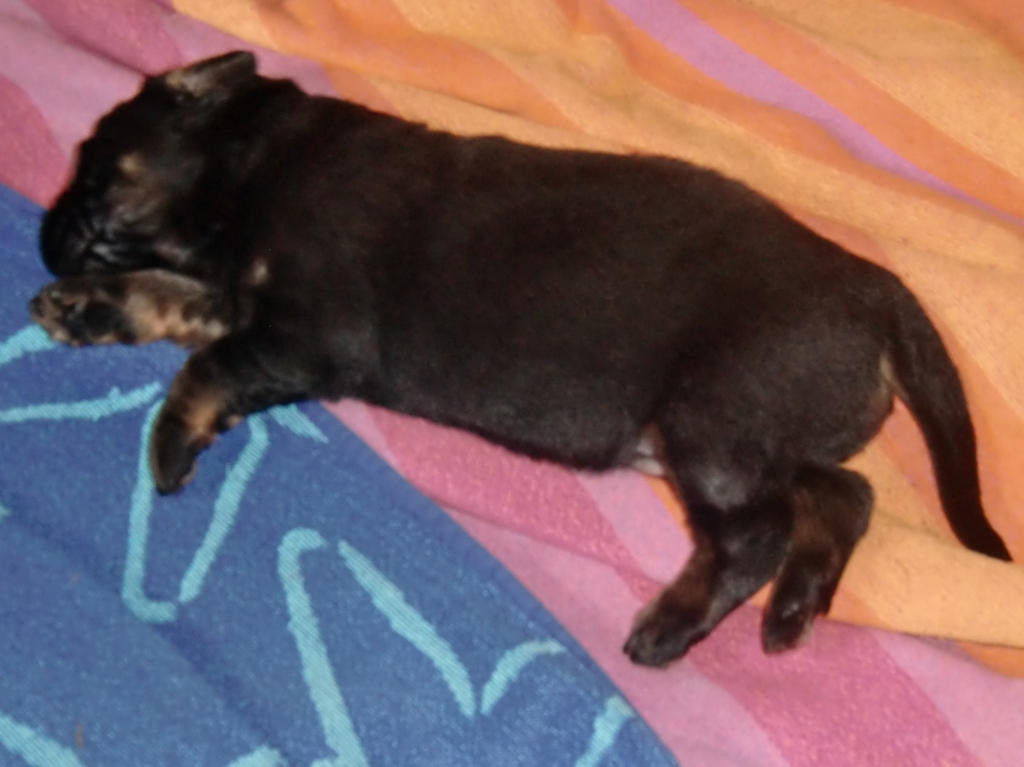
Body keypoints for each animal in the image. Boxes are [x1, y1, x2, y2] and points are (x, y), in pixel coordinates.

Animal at [29, 51, 1012, 667]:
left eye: (92, 163)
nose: (41, 238)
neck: (260, 158)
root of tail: (875, 286)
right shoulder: (236, 299)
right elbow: (158, 295)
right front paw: (82, 305)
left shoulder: (305, 331)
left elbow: (206, 369)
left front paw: (172, 440)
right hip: (762, 430)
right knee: (848, 493)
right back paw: (797, 604)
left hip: (715, 420)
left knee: (762, 529)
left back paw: (674, 623)